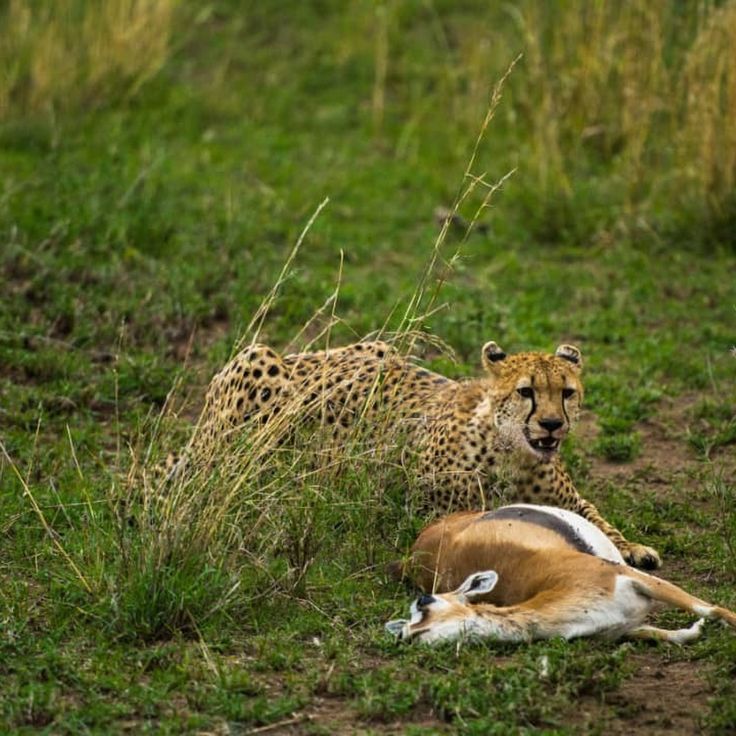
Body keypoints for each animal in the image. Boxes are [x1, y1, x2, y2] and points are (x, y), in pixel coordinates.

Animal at [169, 338, 661, 570]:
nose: (553, 424)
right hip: (259, 370)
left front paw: (633, 547)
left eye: (567, 392)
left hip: (381, 347)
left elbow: (599, 520)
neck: (513, 454)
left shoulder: (570, 500)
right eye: (527, 392)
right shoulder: (425, 502)